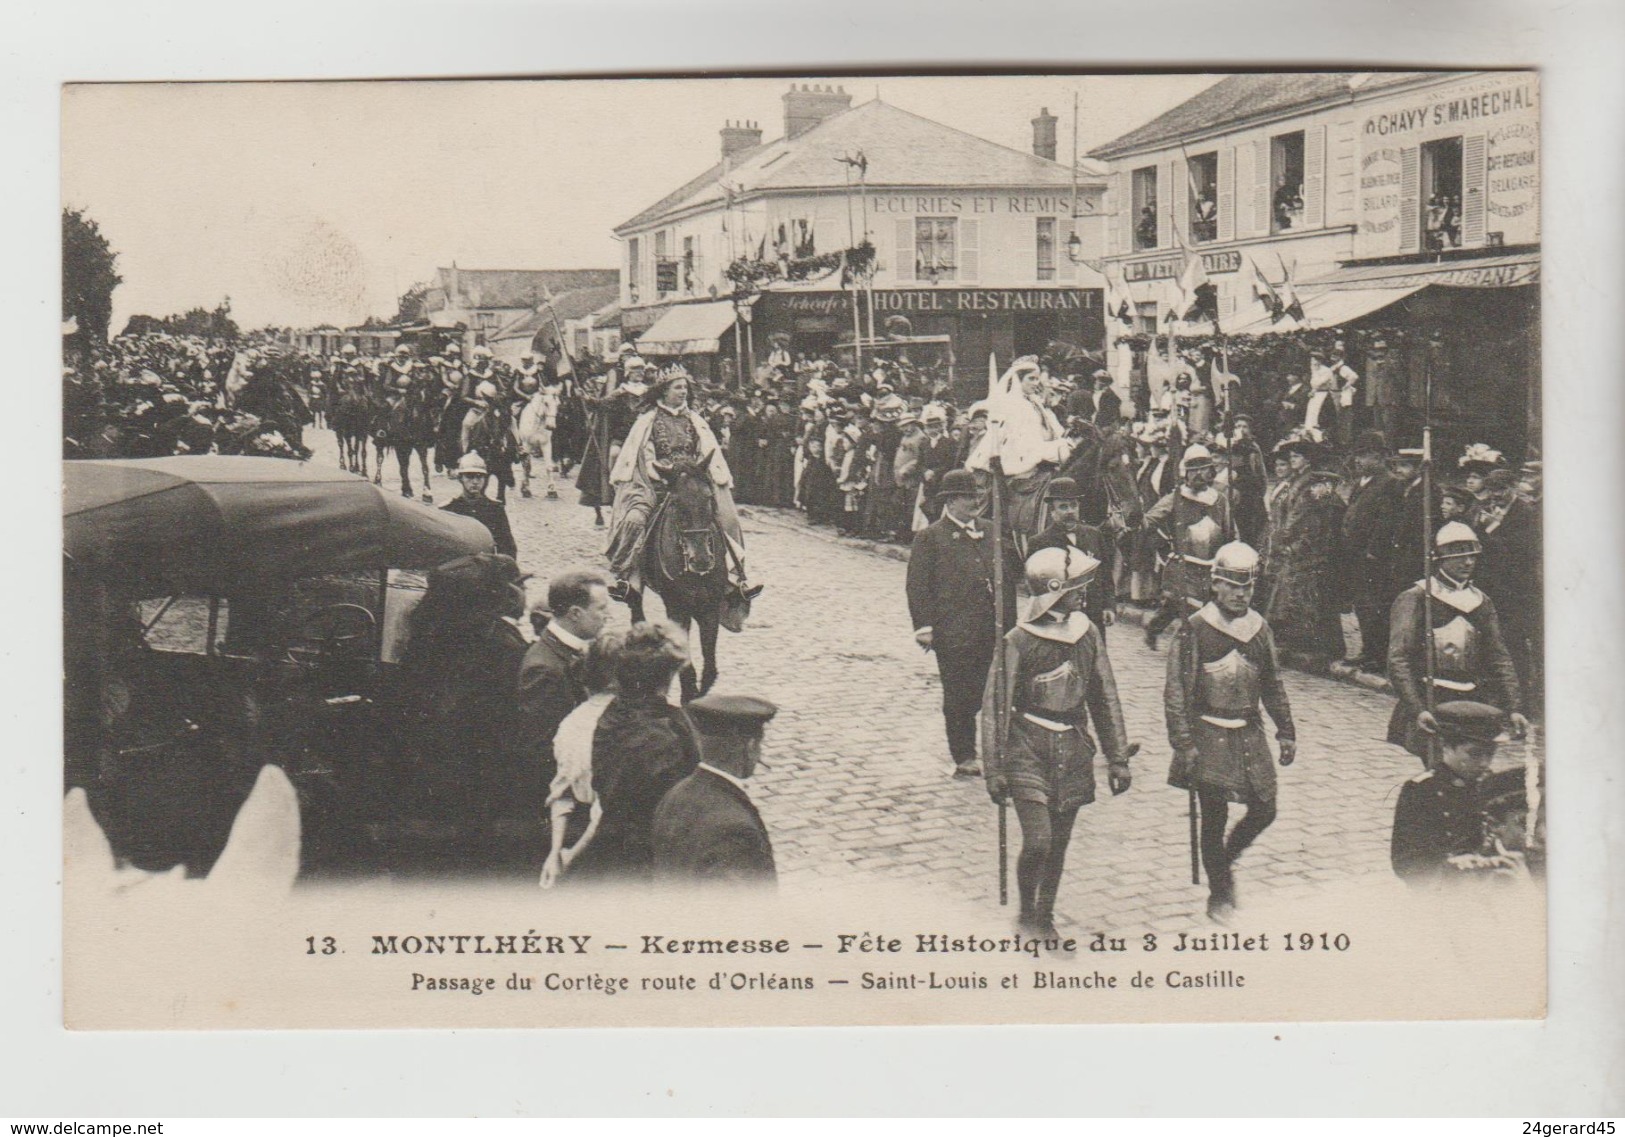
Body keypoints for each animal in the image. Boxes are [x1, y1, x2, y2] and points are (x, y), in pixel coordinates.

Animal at [624, 461, 744, 701]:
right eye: (677, 503)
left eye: (709, 498)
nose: (702, 560)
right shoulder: (678, 609)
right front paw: (688, 693)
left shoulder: (710, 609)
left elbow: (710, 662)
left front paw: (701, 693)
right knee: (636, 609)